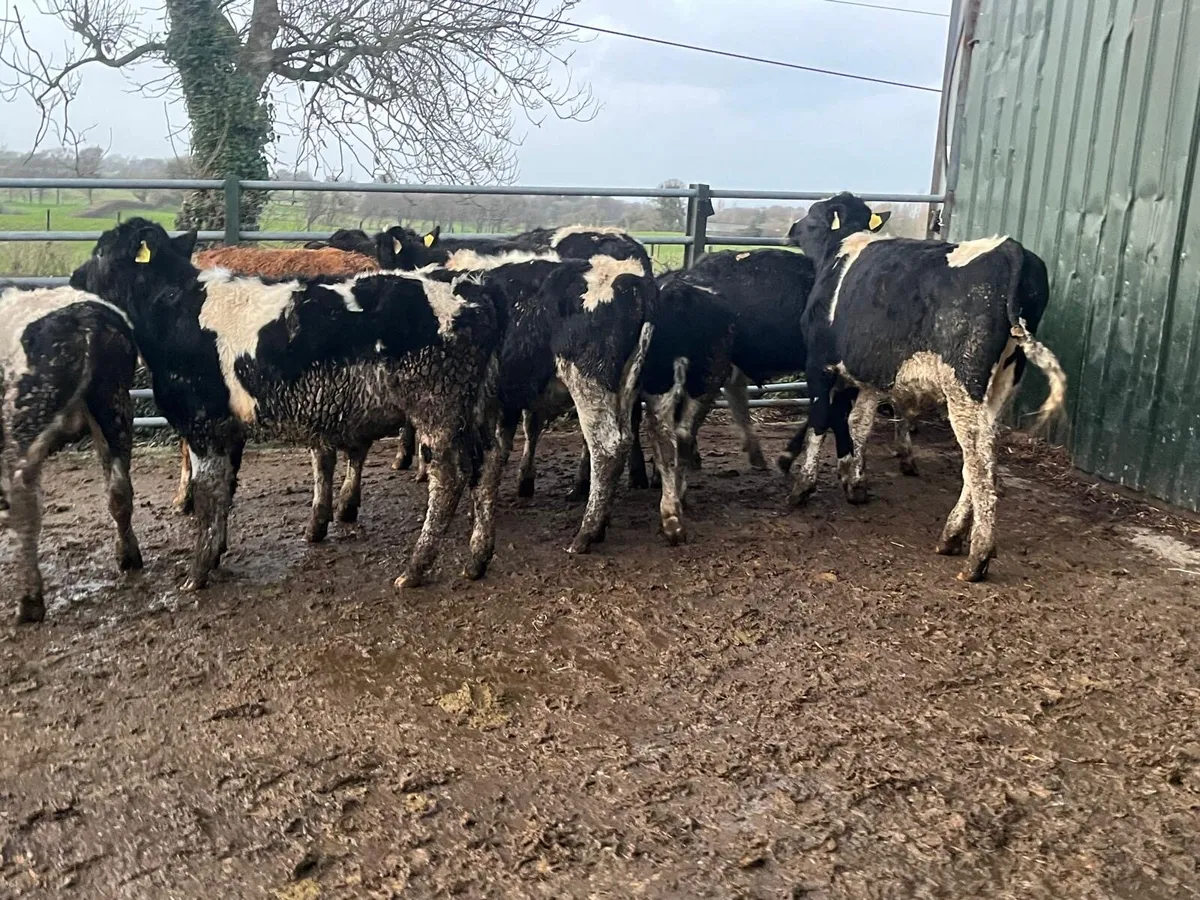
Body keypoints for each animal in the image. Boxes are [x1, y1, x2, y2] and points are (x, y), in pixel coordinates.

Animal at [0, 286, 143, 622]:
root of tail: (84, 318)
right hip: (113, 404)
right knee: (119, 489)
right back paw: (128, 556)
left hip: (25, 418)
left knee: (24, 505)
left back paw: (30, 602)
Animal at [70, 218, 504, 592]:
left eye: (102, 252)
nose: (74, 277)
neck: (179, 309)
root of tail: (472, 291)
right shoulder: (229, 429)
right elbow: (225, 492)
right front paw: (216, 554)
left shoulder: (203, 424)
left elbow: (208, 497)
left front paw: (197, 571)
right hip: (478, 409)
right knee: (488, 468)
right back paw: (477, 558)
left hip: (437, 409)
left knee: (449, 479)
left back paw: (416, 567)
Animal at [786, 192, 1067, 582]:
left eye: (812, 217)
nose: (792, 228)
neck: (839, 250)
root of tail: (1010, 249)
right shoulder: (871, 374)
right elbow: (858, 424)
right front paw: (854, 482)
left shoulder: (819, 364)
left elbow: (820, 422)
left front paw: (802, 487)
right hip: (1001, 384)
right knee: (984, 457)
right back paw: (953, 535)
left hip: (964, 385)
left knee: (979, 465)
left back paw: (977, 556)